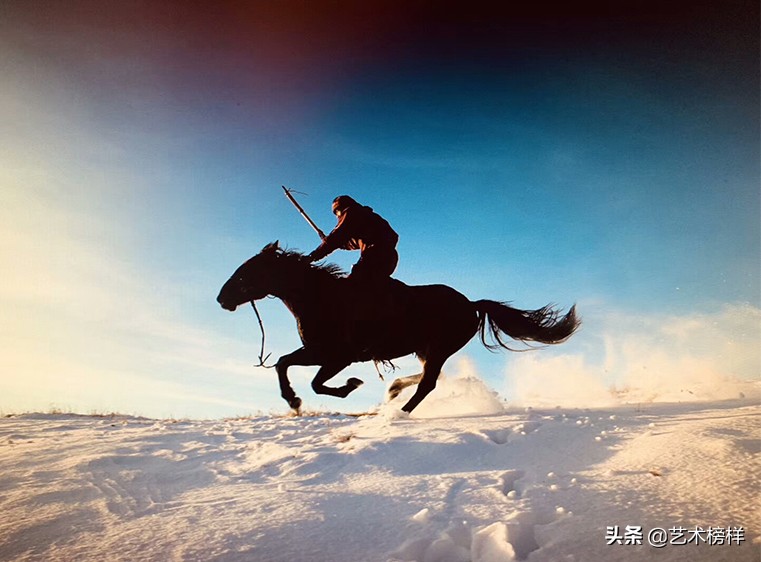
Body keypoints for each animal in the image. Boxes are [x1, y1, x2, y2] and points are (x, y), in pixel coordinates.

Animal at [217, 241, 580, 414]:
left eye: (249, 270)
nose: (221, 298)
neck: (320, 297)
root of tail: (472, 304)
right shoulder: (318, 351)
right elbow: (284, 363)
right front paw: (294, 400)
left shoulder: (337, 355)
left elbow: (315, 381)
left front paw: (345, 387)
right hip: (427, 349)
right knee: (429, 378)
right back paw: (393, 393)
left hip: (439, 347)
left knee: (429, 384)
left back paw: (397, 414)